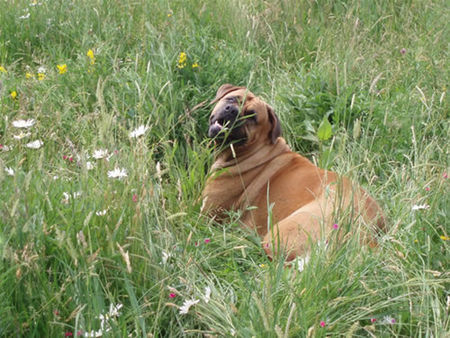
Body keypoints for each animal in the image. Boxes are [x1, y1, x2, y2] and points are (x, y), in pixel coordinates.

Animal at [202, 84, 384, 258]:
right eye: (232, 99)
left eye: (252, 116)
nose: (232, 110)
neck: (256, 150)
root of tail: (368, 230)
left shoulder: (205, 212)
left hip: (280, 234)